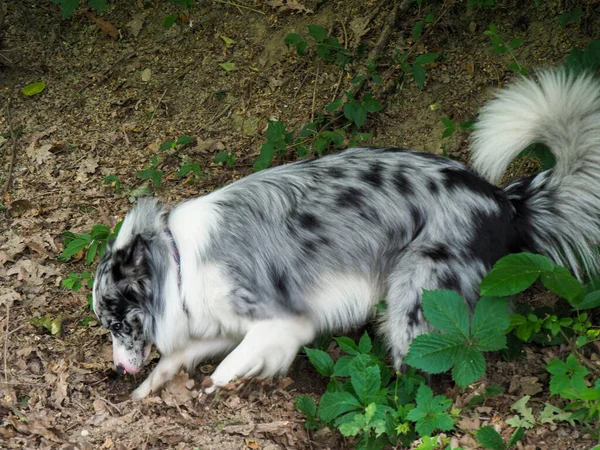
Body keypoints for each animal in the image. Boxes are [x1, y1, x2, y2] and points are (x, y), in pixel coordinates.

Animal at [92, 69, 600, 398]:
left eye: (117, 324)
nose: (115, 372)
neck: (177, 260)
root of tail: (503, 201)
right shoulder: (227, 320)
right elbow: (181, 355)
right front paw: (149, 388)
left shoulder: (285, 320)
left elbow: (234, 360)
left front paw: (216, 385)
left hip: (413, 300)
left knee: (420, 379)